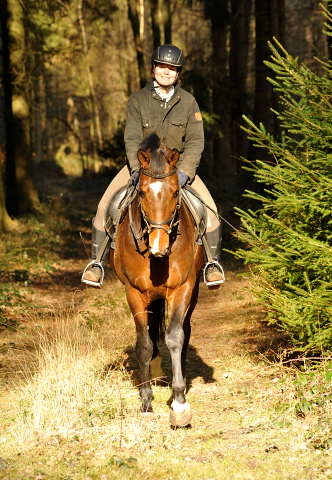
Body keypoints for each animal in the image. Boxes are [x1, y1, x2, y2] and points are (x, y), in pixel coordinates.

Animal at [109, 133, 202, 426]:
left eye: (175, 192)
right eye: (141, 192)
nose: (158, 246)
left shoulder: (183, 288)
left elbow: (174, 337)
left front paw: (179, 402)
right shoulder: (134, 292)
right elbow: (143, 344)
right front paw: (146, 401)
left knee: (185, 330)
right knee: (151, 332)